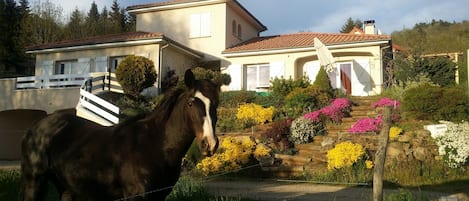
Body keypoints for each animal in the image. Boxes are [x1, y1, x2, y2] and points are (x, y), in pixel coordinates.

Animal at [19, 69, 220, 201]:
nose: (209, 144)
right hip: (34, 182)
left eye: (215, 105)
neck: (154, 144)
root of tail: (35, 127)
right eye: (191, 103)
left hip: (66, 188)